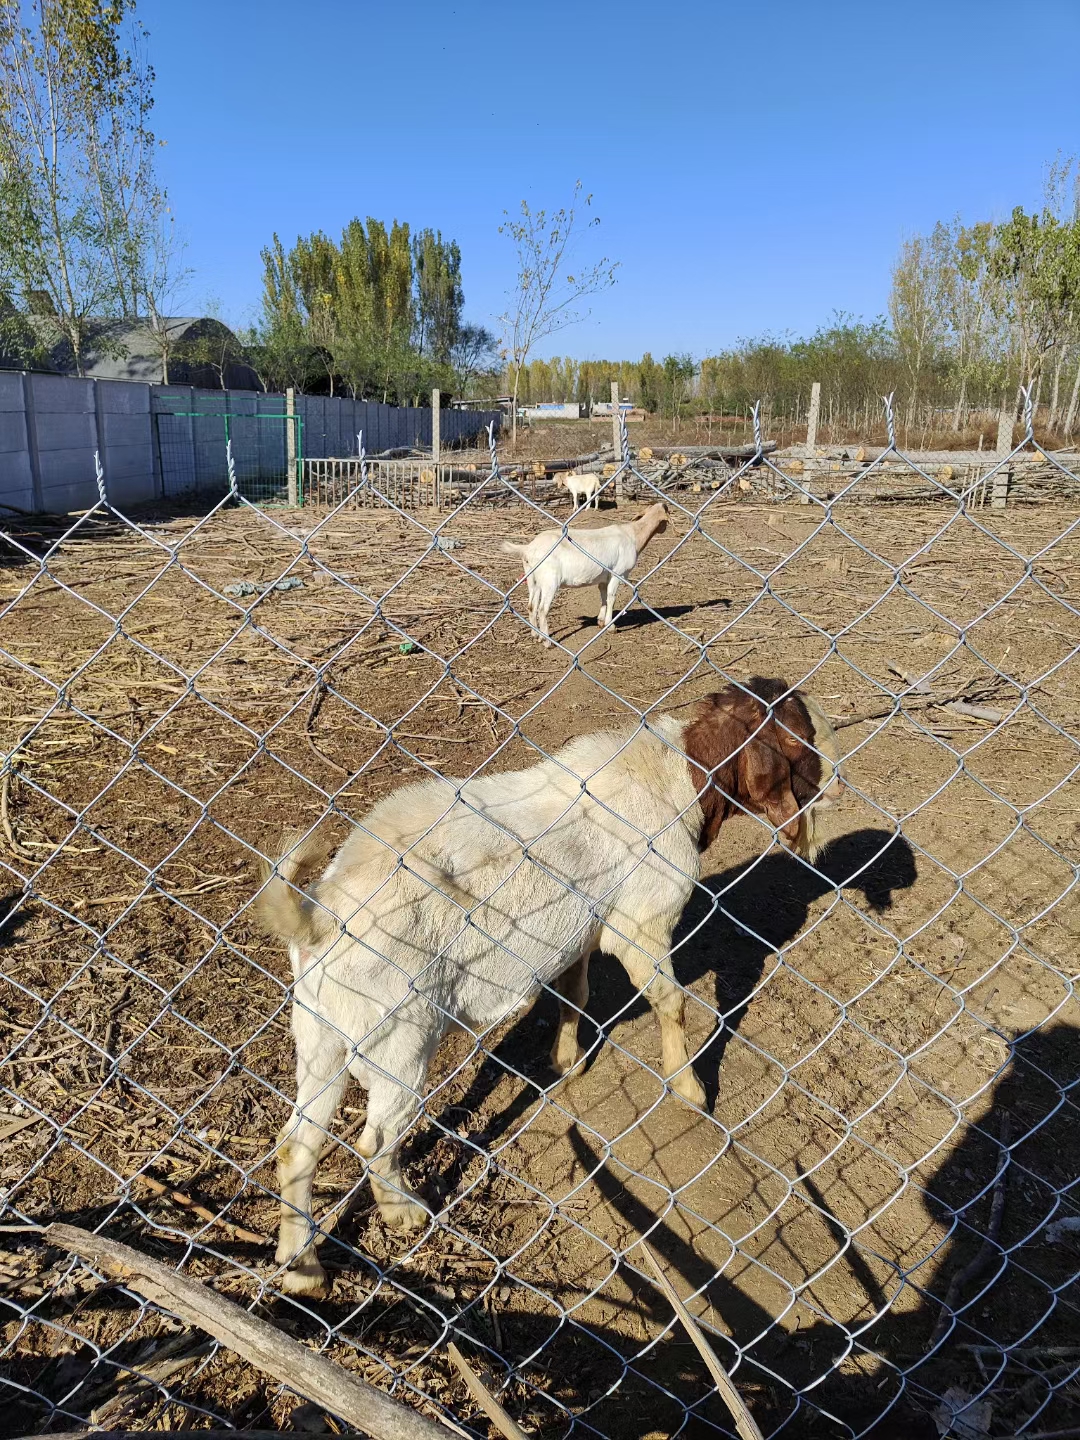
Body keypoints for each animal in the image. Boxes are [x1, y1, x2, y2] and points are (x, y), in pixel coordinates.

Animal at [256, 673, 846, 1296]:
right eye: (797, 739)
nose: (837, 787)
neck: (678, 777)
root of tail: (320, 917)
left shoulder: (580, 931)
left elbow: (575, 994)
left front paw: (568, 1062)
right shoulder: (642, 923)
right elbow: (672, 1003)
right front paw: (687, 1089)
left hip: (322, 1033)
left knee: (297, 1146)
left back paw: (301, 1268)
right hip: (400, 1036)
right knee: (375, 1139)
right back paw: (401, 1212)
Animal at [506, 501, 668, 648]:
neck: (633, 534)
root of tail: (529, 548)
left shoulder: (604, 577)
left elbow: (603, 596)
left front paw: (601, 621)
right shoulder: (618, 573)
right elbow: (611, 597)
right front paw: (611, 627)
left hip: (533, 579)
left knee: (531, 606)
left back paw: (536, 635)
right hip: (549, 581)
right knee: (542, 609)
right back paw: (548, 642)